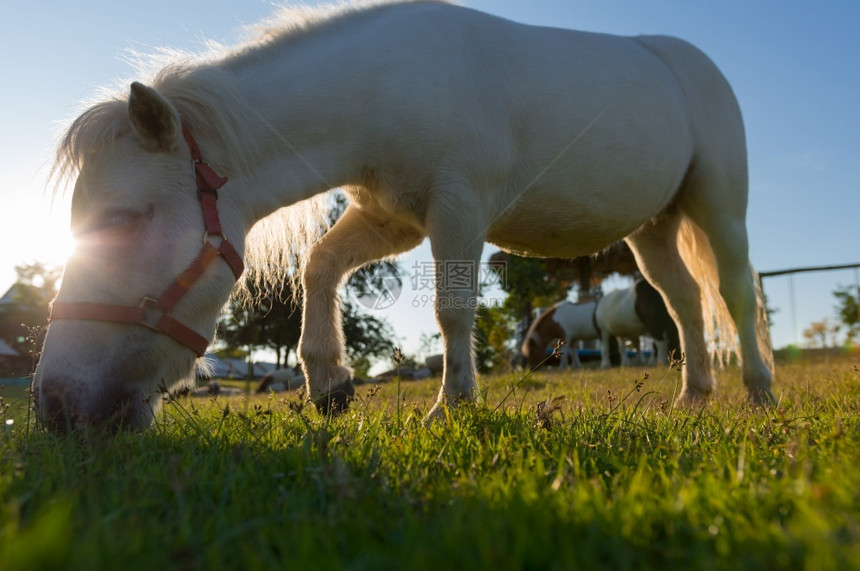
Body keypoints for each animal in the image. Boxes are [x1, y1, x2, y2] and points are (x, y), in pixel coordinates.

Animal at [33, 0, 776, 434]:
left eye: (122, 221)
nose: (55, 407)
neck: (388, 87)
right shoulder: (392, 219)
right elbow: (320, 265)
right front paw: (329, 382)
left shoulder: (459, 208)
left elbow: (452, 309)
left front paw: (452, 404)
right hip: (653, 226)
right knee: (684, 301)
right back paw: (694, 396)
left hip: (719, 205)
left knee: (736, 293)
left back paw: (760, 392)